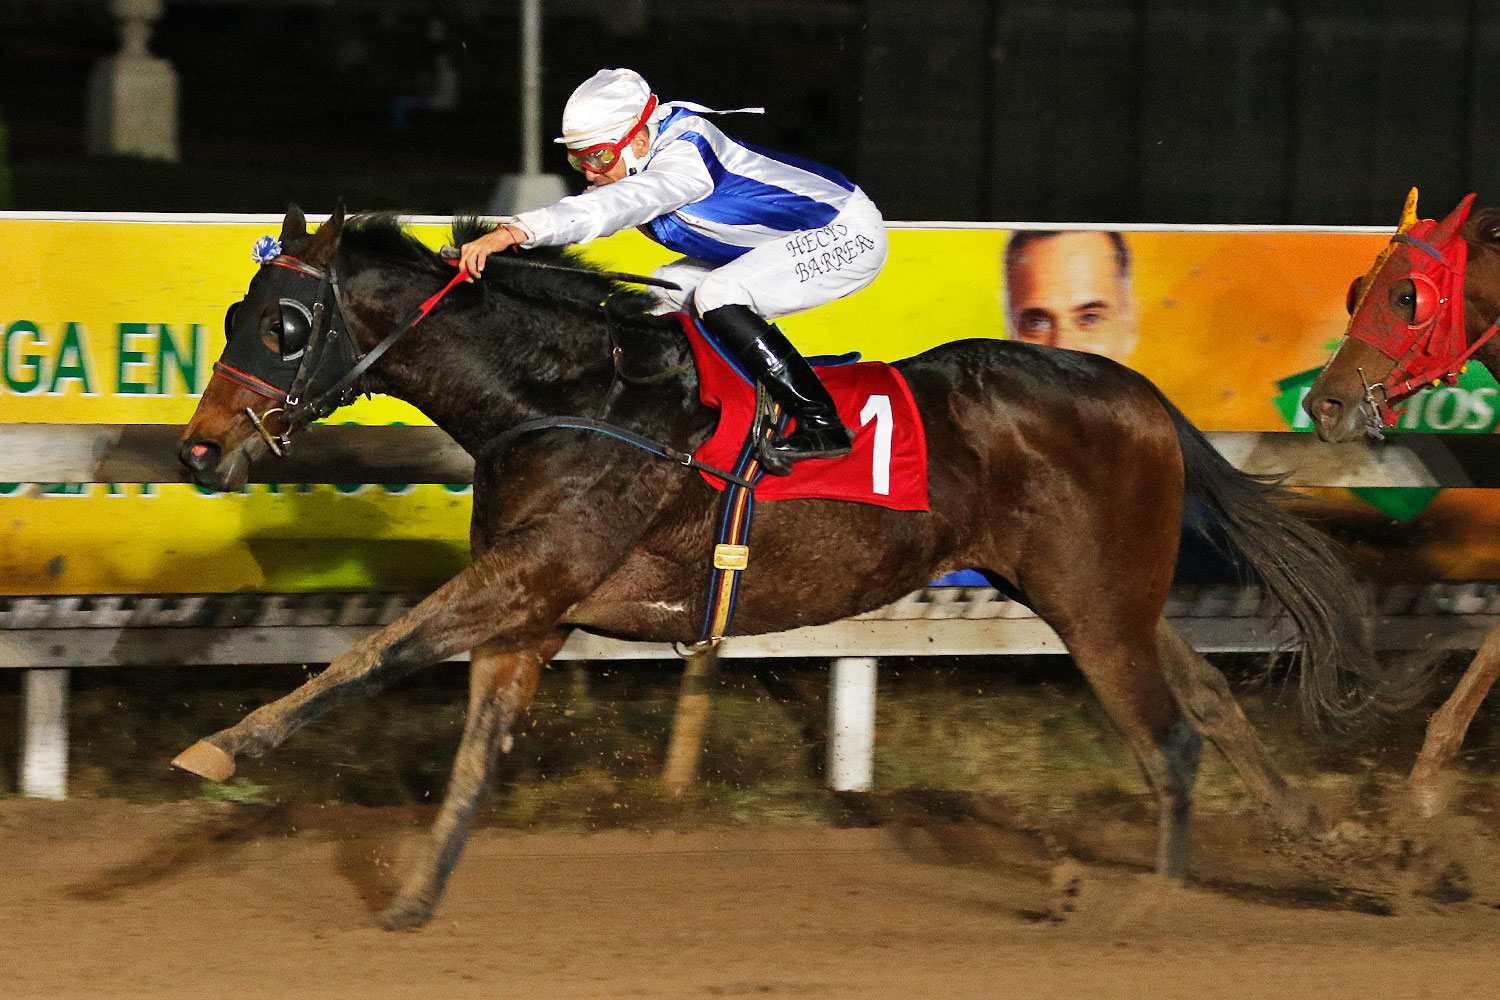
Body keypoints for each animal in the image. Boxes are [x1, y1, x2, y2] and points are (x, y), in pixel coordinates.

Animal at [175, 205, 1396, 929]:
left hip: (1095, 601)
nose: (198, 449)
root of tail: (1138, 393)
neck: (565, 395)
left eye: (286, 324)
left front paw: (222, 747)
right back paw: (1338, 853)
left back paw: (1152, 907)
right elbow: (476, 753)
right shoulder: (533, 608)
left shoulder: (529, 579)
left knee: (1170, 740)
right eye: (233, 312)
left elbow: (376, 649)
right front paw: (414, 901)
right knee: (1210, 704)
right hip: (1102, 592)